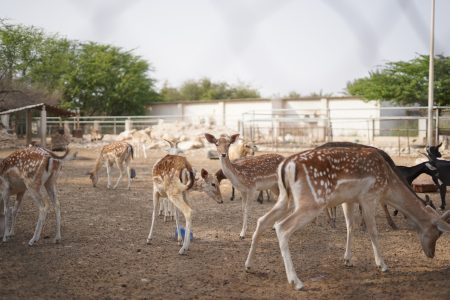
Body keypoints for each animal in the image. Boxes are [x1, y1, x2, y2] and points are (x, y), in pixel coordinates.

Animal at [244, 146, 450, 292]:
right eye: (437, 233)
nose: (431, 254)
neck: (388, 185)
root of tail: (285, 165)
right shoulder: (369, 196)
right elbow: (372, 231)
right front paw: (382, 265)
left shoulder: (349, 199)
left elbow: (350, 226)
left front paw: (347, 260)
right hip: (311, 201)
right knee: (282, 227)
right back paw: (296, 281)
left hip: (284, 197)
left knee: (262, 220)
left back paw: (248, 265)